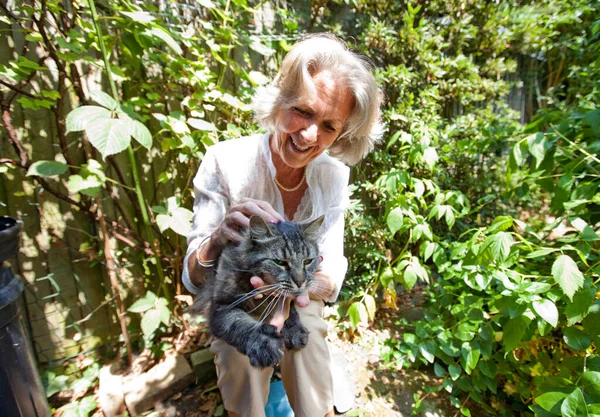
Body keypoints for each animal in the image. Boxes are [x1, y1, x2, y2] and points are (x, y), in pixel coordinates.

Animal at [196, 214, 324, 368]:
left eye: (307, 261)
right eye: (280, 262)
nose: (300, 282)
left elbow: (289, 310)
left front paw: (294, 330)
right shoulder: (221, 306)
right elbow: (240, 324)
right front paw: (264, 343)